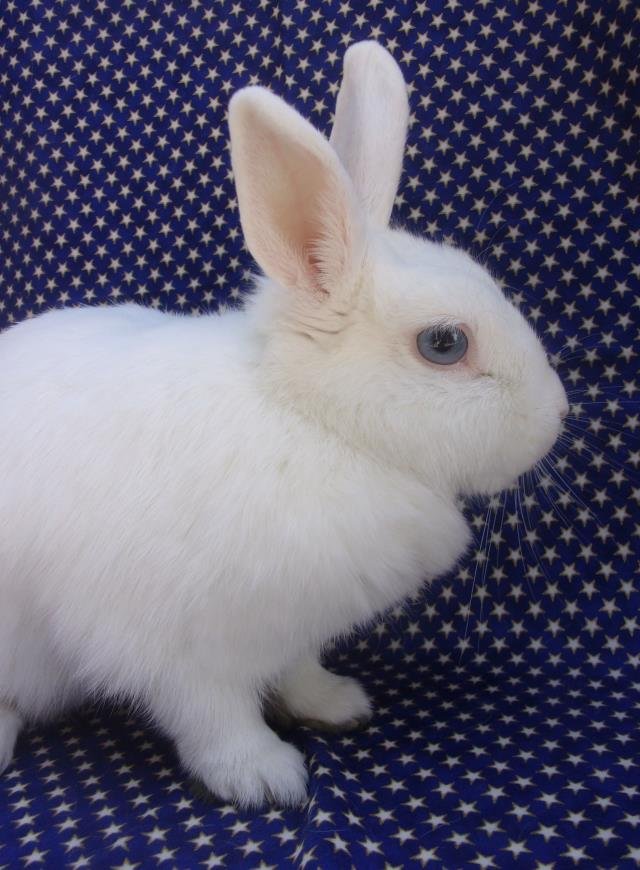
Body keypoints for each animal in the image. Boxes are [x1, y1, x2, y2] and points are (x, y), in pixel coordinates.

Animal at [0, 41, 568, 807]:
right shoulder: (173, 644)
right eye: (445, 344)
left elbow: (296, 668)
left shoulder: (291, 628)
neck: (312, 421)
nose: (558, 414)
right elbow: (211, 715)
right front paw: (263, 777)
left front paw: (334, 703)